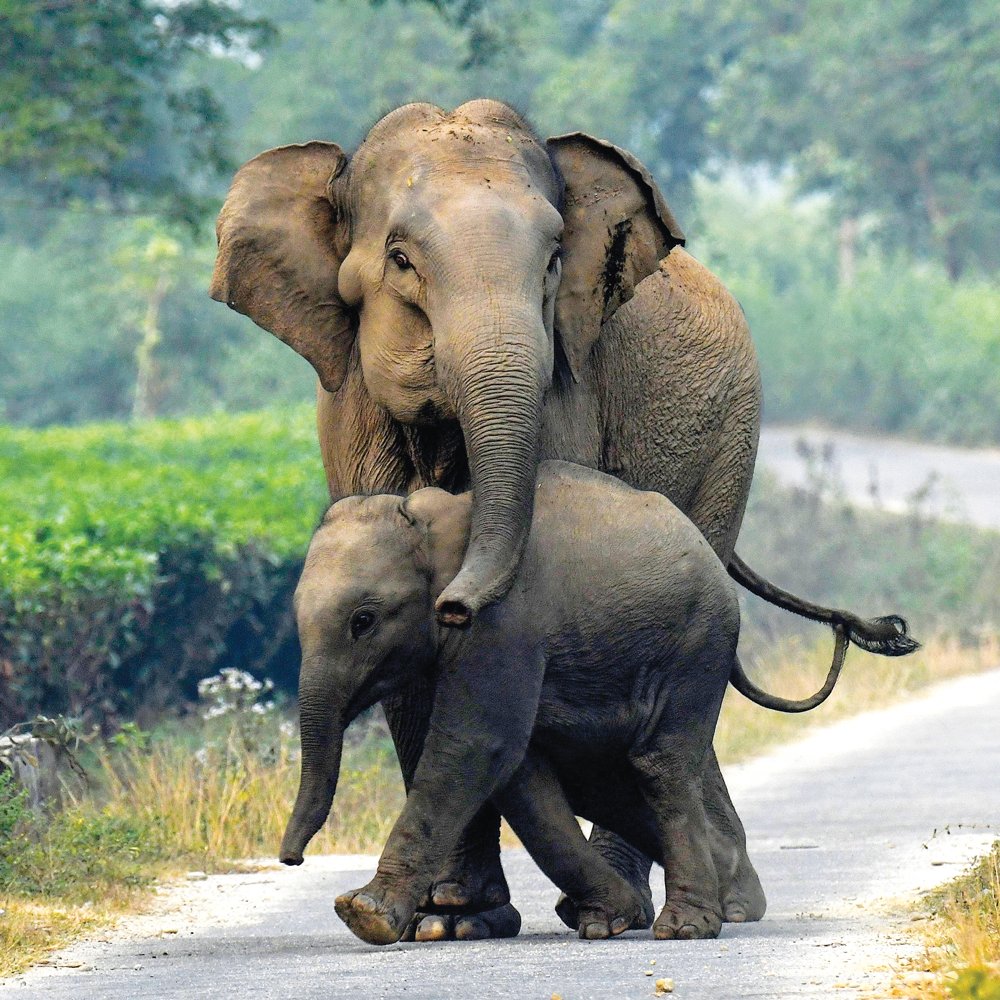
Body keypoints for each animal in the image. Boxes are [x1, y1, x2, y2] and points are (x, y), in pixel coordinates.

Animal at [211, 98, 916, 941]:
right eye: (401, 259)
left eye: (553, 261)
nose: (457, 605)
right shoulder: (349, 407)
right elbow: (420, 679)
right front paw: (446, 922)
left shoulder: (569, 381)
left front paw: (452, 917)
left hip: (728, 443)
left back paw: (658, 908)